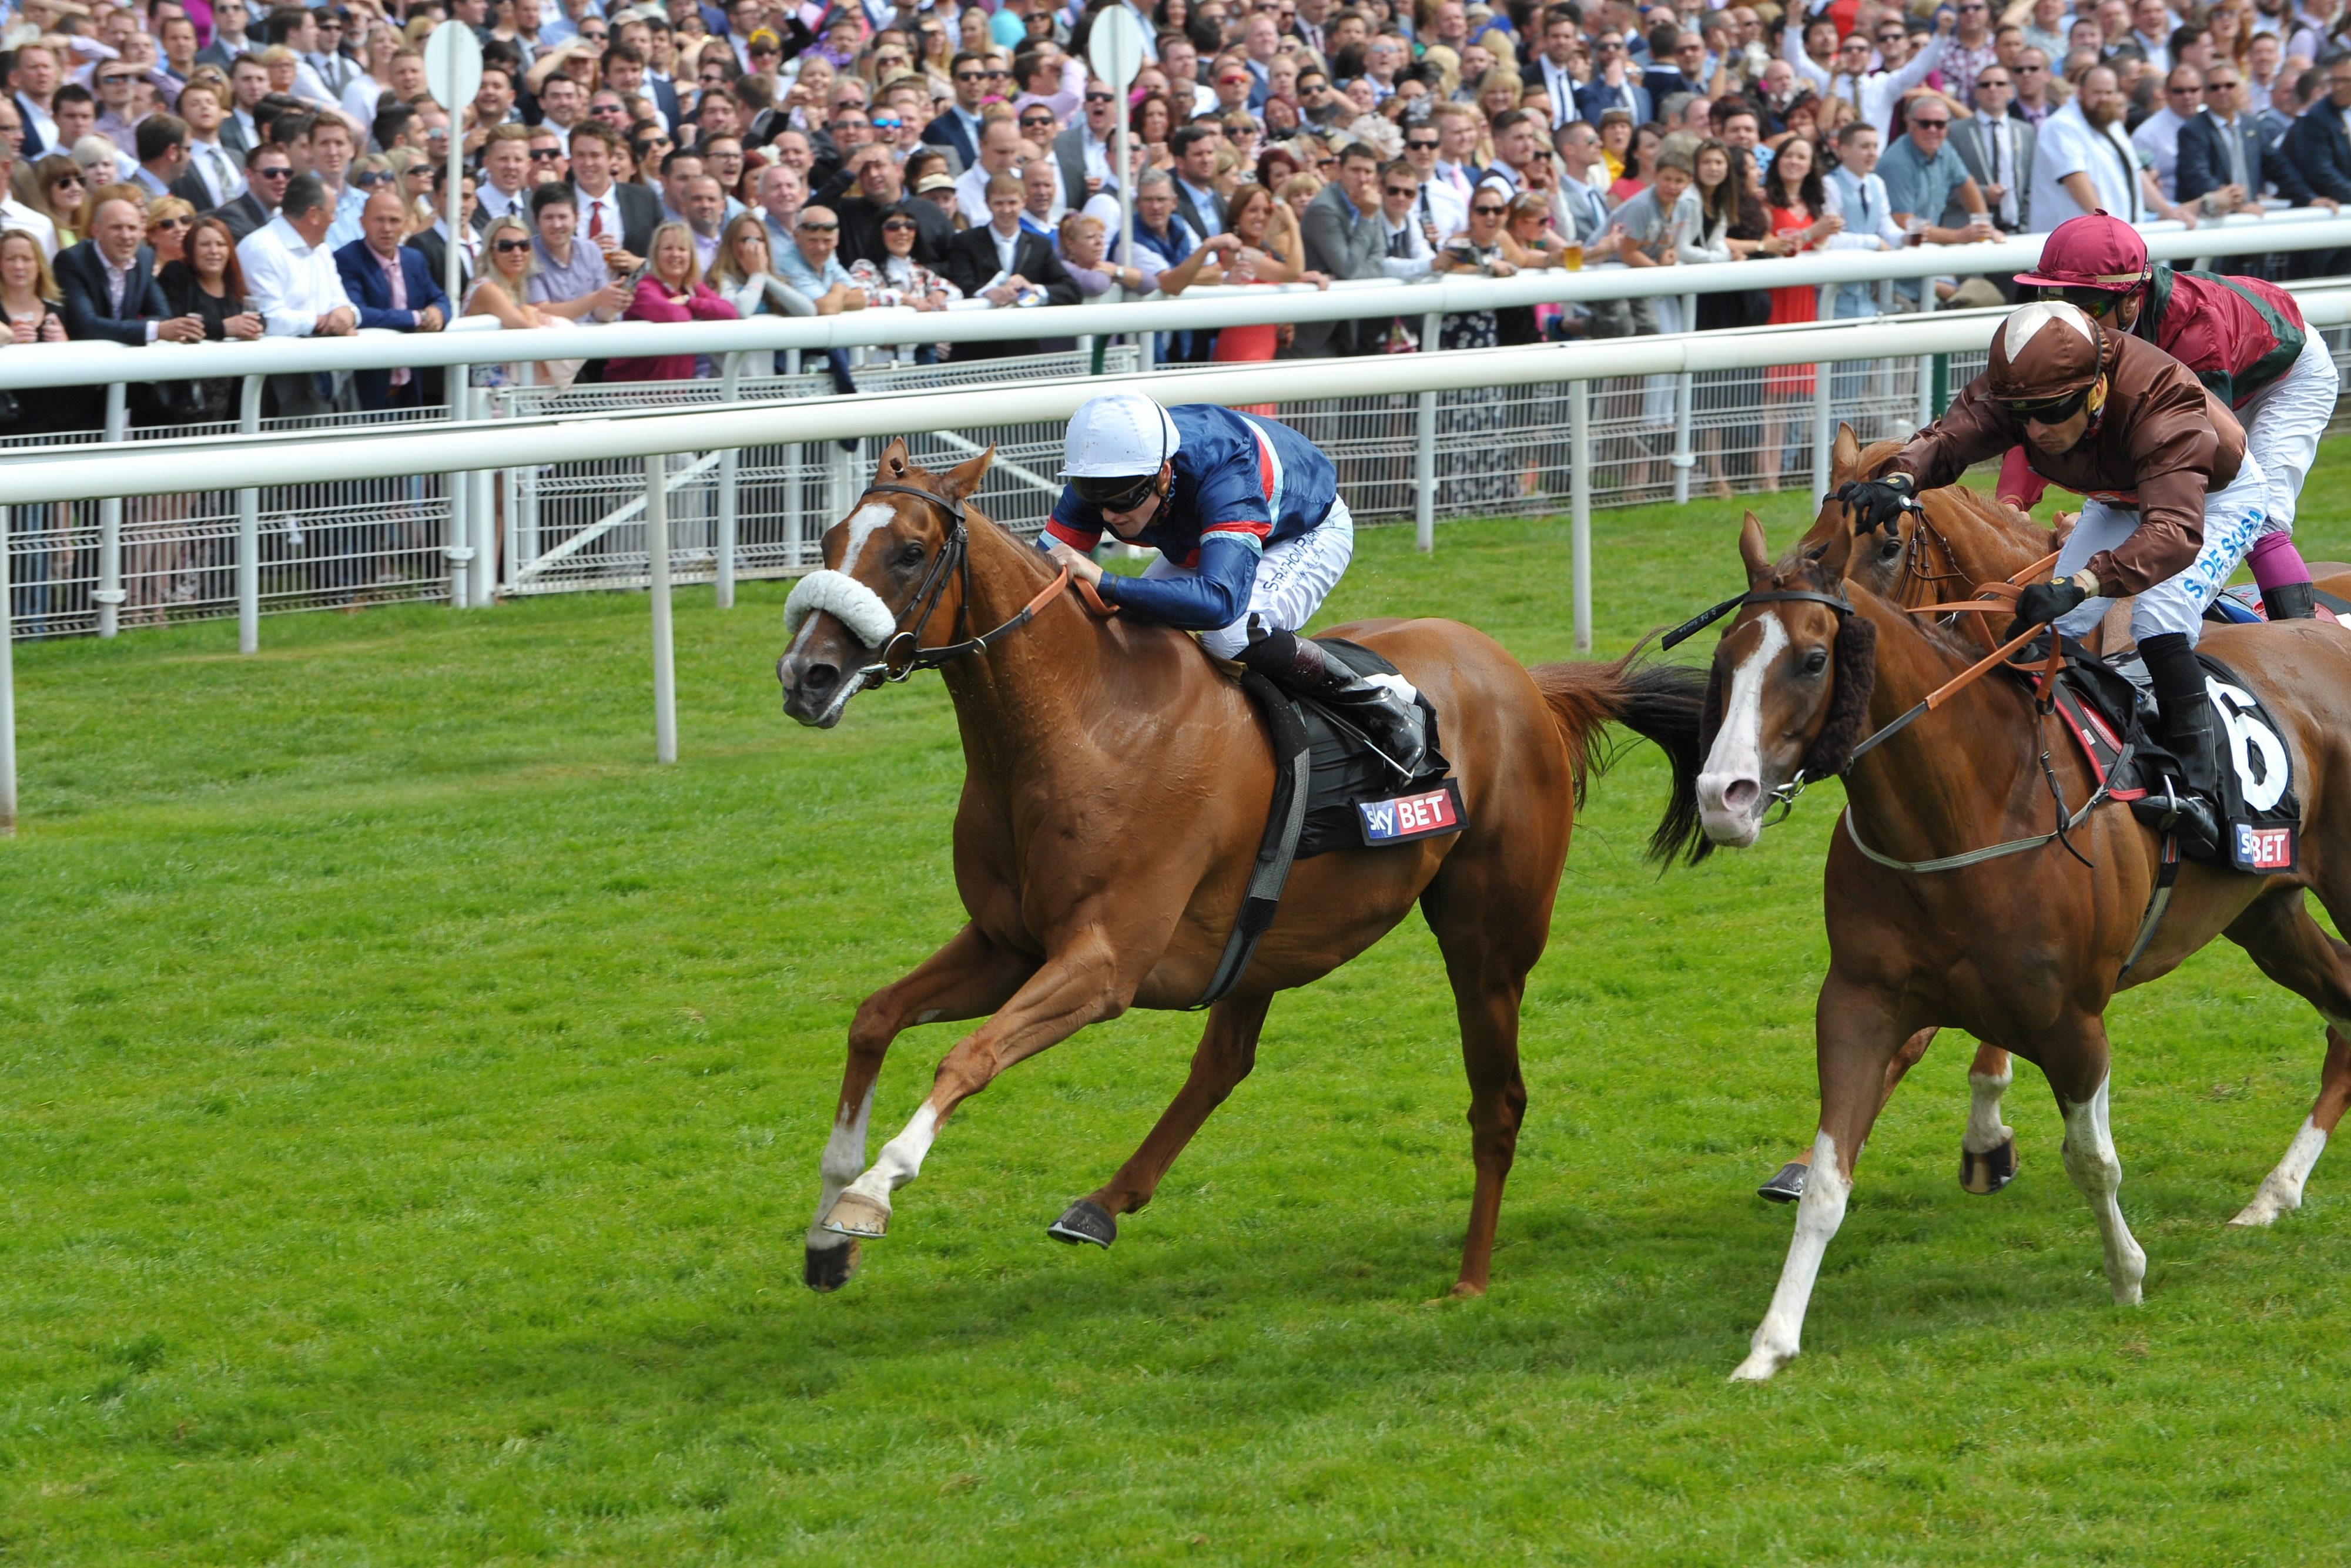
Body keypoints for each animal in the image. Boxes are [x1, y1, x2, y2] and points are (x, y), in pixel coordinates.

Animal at [781, 442, 1702, 1298]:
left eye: (909, 551)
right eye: (828, 540)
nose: (805, 676)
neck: (1083, 723)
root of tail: (1529, 683)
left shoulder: (1103, 964)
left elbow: (967, 1058)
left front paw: (870, 1194)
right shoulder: (1008, 943)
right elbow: (873, 1019)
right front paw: (826, 1229)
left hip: (1489, 939)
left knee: (1499, 1101)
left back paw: (1470, 1280)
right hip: (1269, 934)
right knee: (1225, 1061)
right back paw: (1102, 1205)